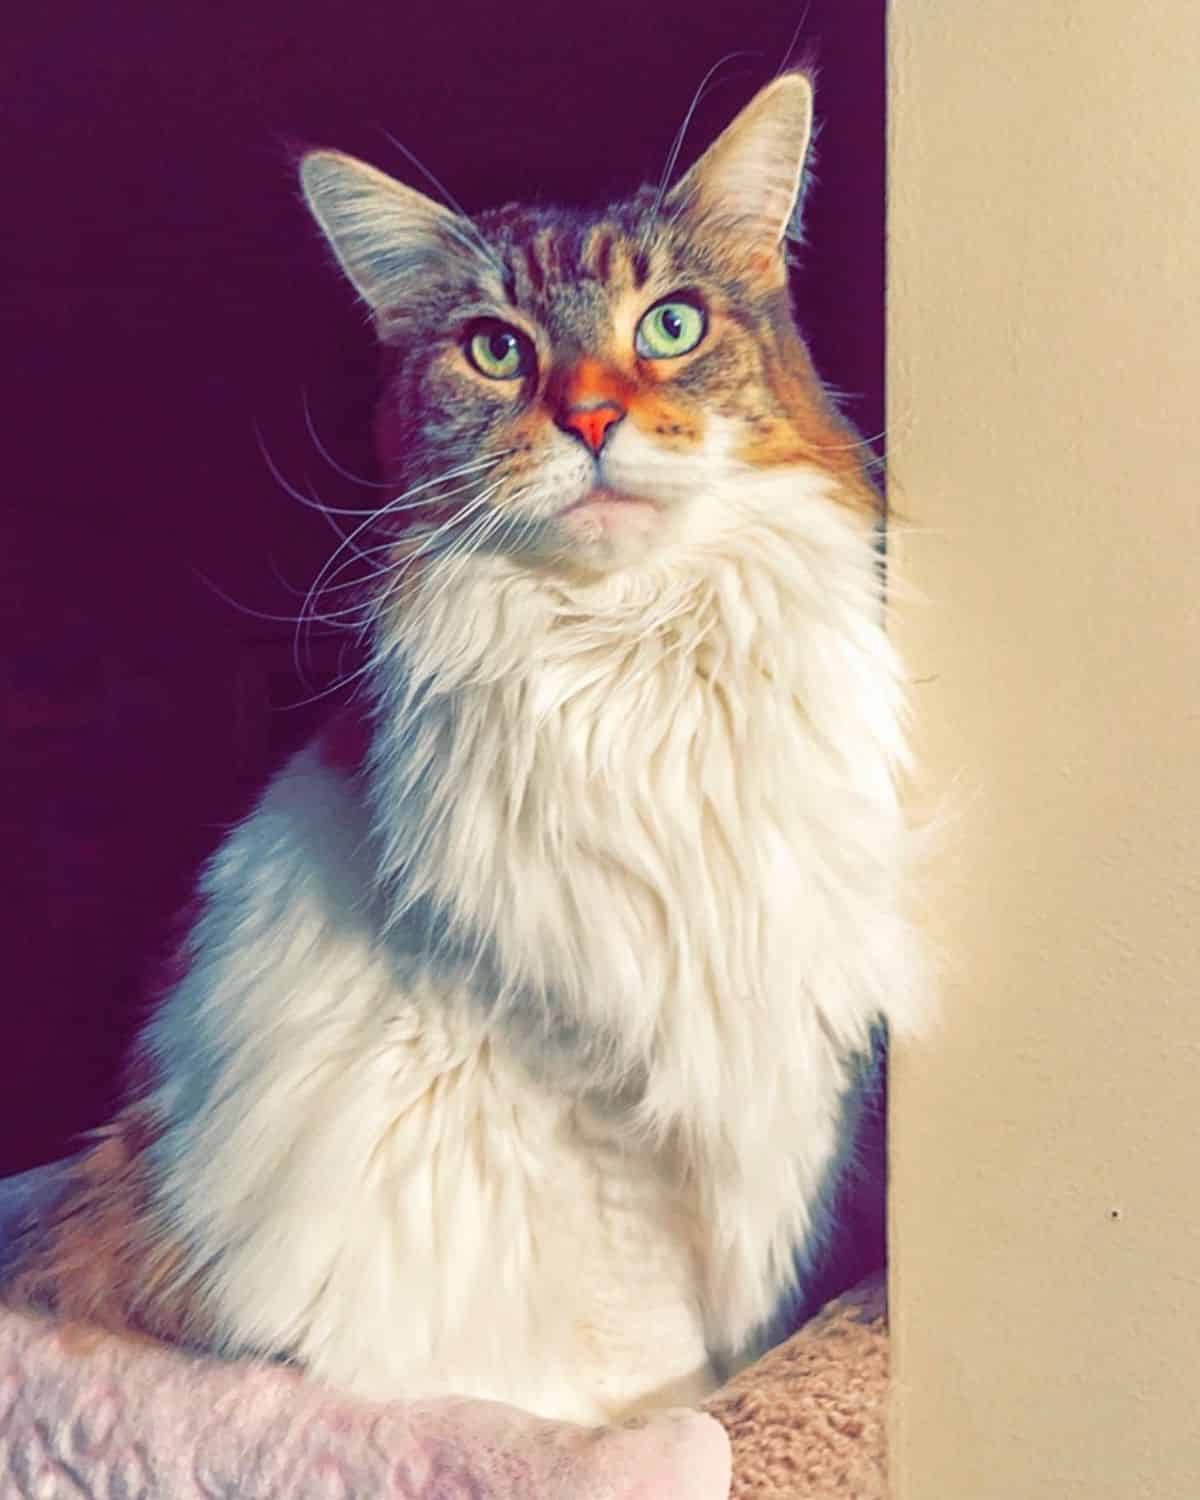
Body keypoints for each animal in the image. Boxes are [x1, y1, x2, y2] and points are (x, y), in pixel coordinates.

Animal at [2, 73, 918, 1428]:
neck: (628, 653)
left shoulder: (785, 1076)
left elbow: (747, 1308)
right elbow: (657, 1356)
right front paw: (670, 1435)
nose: (590, 418)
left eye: (672, 326)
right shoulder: (585, 1105)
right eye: (498, 351)